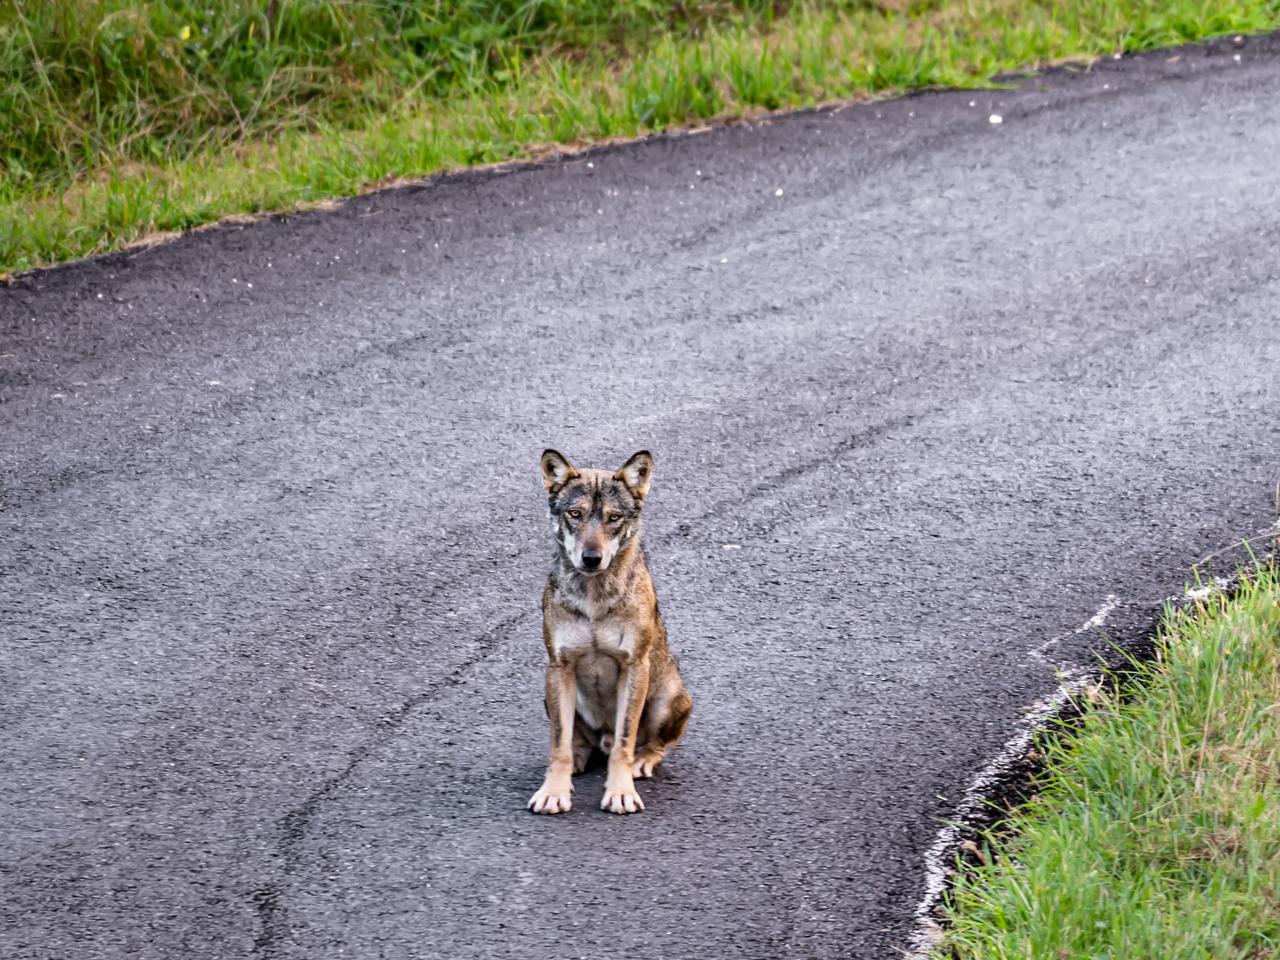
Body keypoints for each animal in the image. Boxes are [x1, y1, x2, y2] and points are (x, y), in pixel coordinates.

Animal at [527, 448, 696, 814]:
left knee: (650, 745)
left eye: (614, 517)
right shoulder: (559, 666)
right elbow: (558, 744)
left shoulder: (633, 667)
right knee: (579, 742)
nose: (591, 558)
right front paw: (553, 791)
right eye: (575, 514)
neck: (594, 600)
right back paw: (578, 761)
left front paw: (621, 792)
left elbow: (624, 742)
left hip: (666, 697)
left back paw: (641, 763)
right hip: (553, 694)